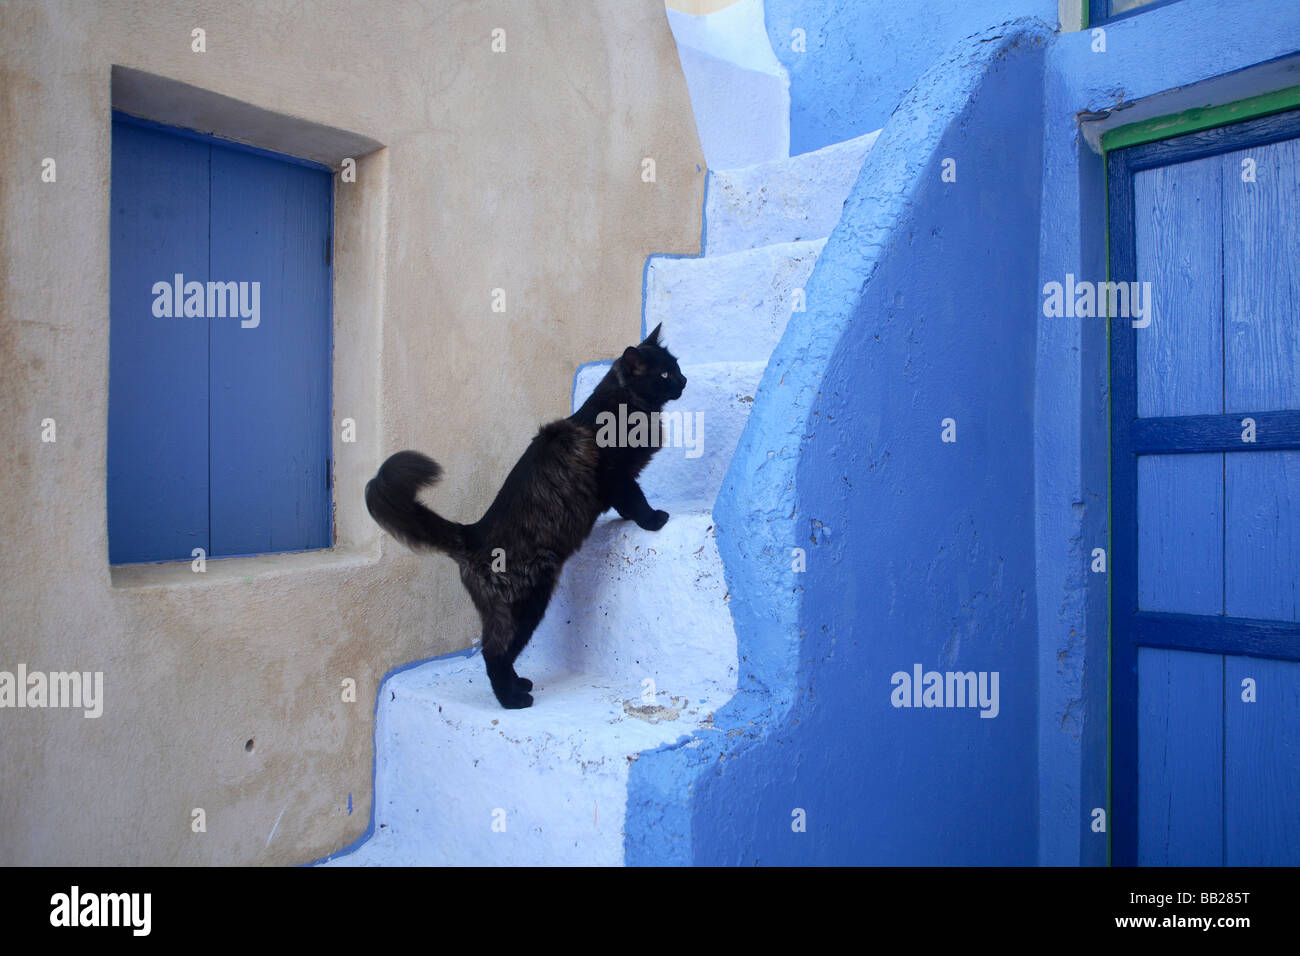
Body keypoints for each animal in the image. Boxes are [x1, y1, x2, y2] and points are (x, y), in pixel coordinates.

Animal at [366, 325, 691, 707]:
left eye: (676, 366)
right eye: (664, 374)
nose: (684, 379)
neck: (626, 406)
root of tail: (472, 533)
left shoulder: (616, 482)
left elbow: (626, 504)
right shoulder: (616, 474)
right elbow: (635, 499)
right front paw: (653, 519)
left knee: (500, 652)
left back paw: (519, 685)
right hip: (528, 601)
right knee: (494, 653)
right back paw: (512, 700)